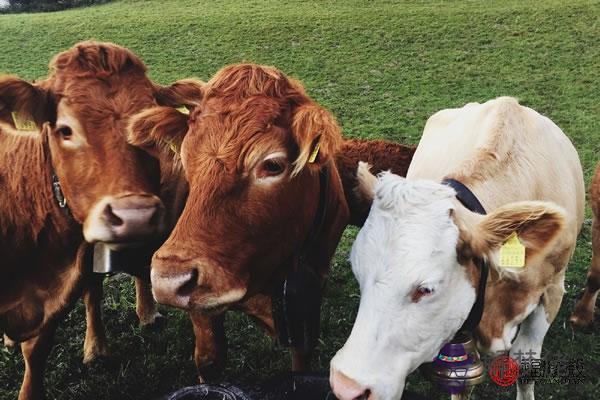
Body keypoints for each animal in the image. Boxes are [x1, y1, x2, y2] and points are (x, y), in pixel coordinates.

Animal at [125, 63, 418, 378]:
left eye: (273, 164)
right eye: (186, 156)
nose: (169, 280)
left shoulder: (307, 294)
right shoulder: (203, 309)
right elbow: (209, 360)